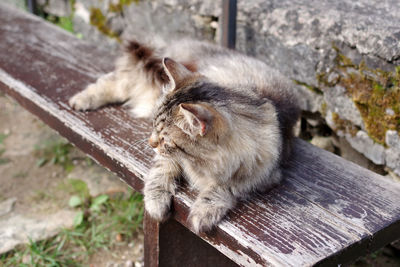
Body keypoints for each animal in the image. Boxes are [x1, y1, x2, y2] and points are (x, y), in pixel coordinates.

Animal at [69, 38, 300, 234]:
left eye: (165, 139)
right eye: (154, 127)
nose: (150, 143)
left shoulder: (264, 175)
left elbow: (226, 187)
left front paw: (203, 211)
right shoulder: (167, 158)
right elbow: (160, 172)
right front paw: (156, 202)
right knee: (115, 80)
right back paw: (82, 99)